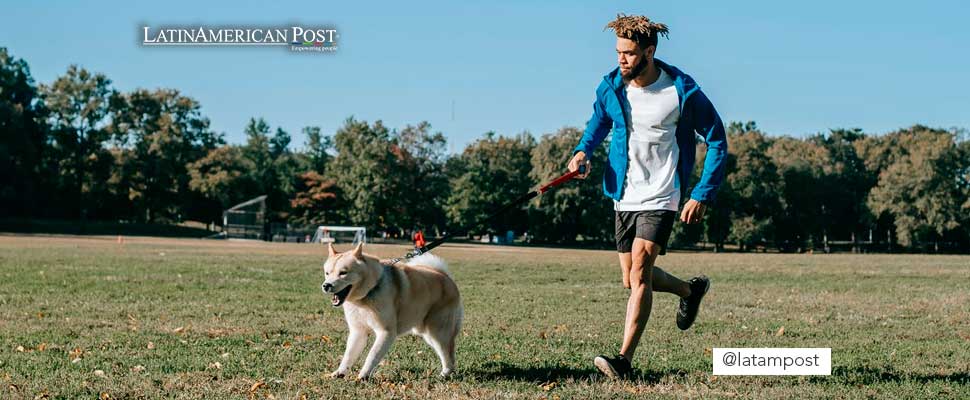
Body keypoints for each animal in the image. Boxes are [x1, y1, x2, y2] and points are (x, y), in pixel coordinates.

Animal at [320, 242, 464, 380]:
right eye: (327, 273)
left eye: (343, 272)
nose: (326, 285)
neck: (367, 294)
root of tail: (446, 276)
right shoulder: (358, 332)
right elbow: (348, 355)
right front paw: (340, 373)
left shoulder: (386, 332)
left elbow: (372, 355)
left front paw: (363, 376)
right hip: (427, 333)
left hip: (438, 333)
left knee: (449, 355)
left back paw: (444, 375)